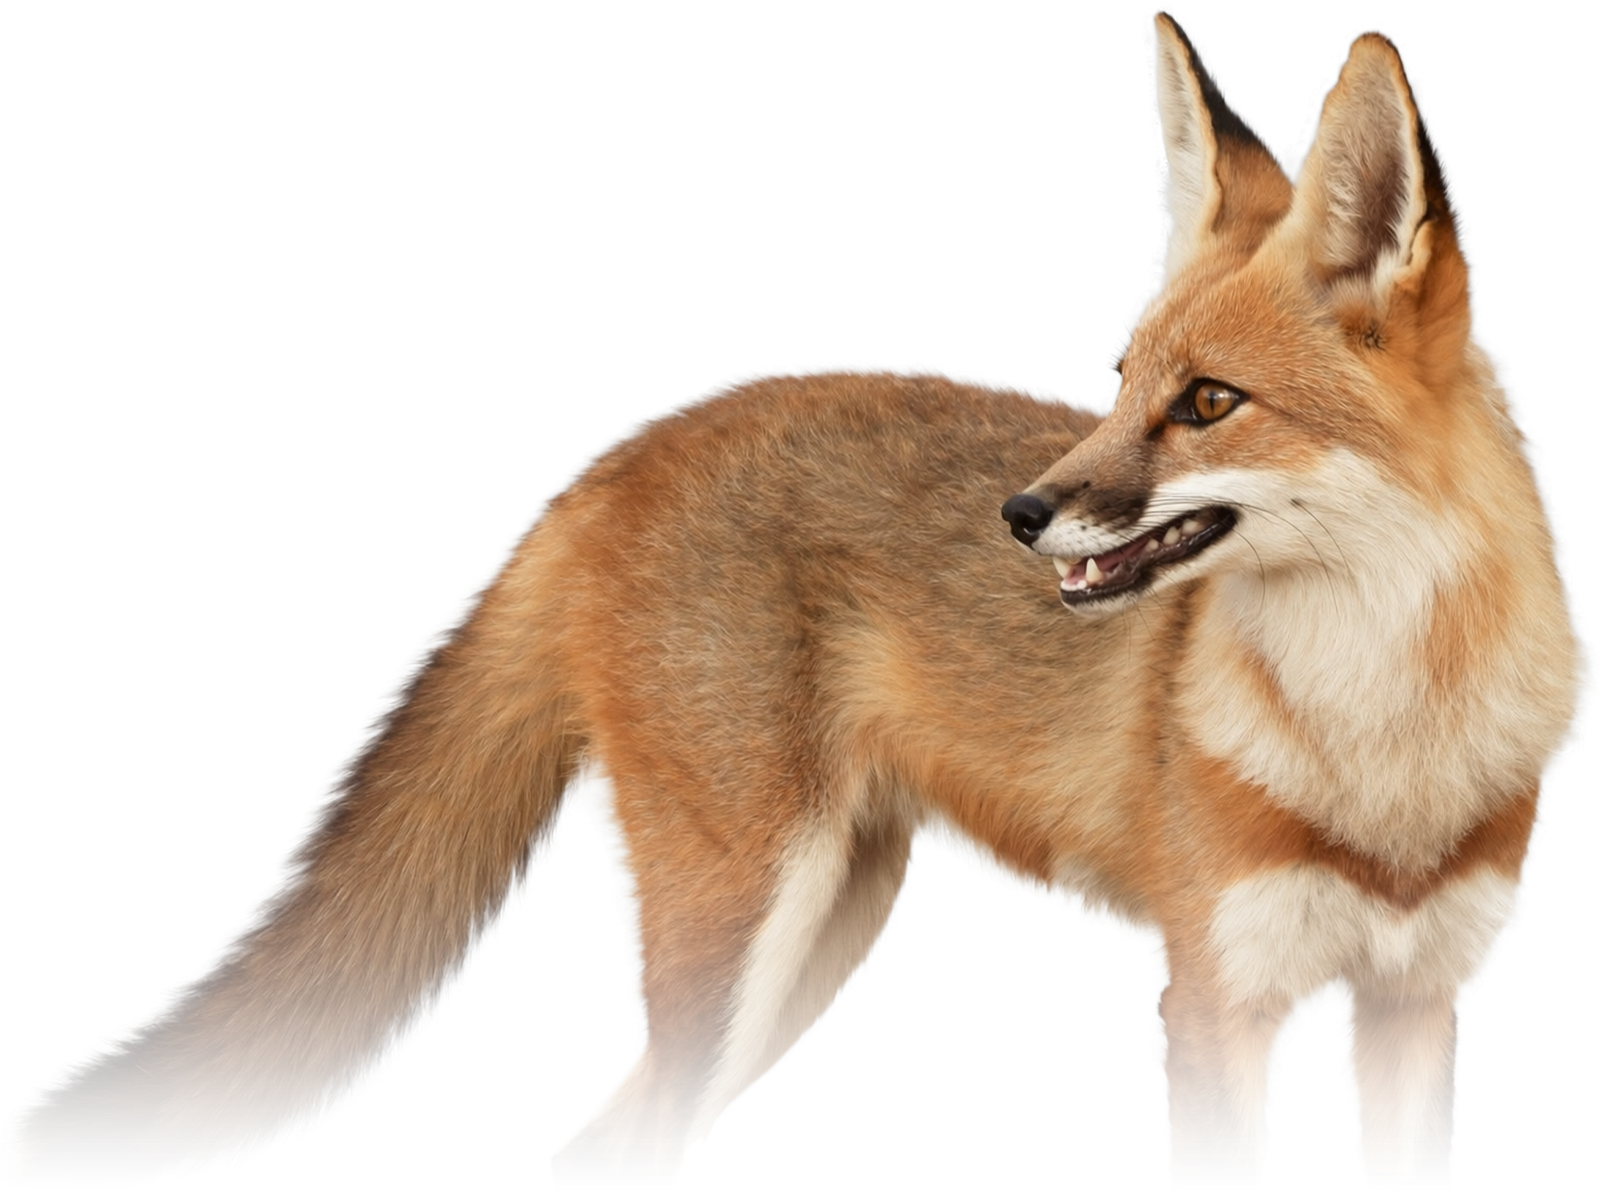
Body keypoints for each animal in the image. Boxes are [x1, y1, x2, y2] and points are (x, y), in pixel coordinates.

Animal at [7, 10, 1591, 1184]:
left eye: (1207, 403)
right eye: (1121, 384)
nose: (1022, 514)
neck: (1383, 751)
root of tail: (611, 454)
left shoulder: (1417, 1004)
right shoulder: (1212, 995)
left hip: (814, 935)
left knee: (596, 1139)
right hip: (738, 938)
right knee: (630, 1144)